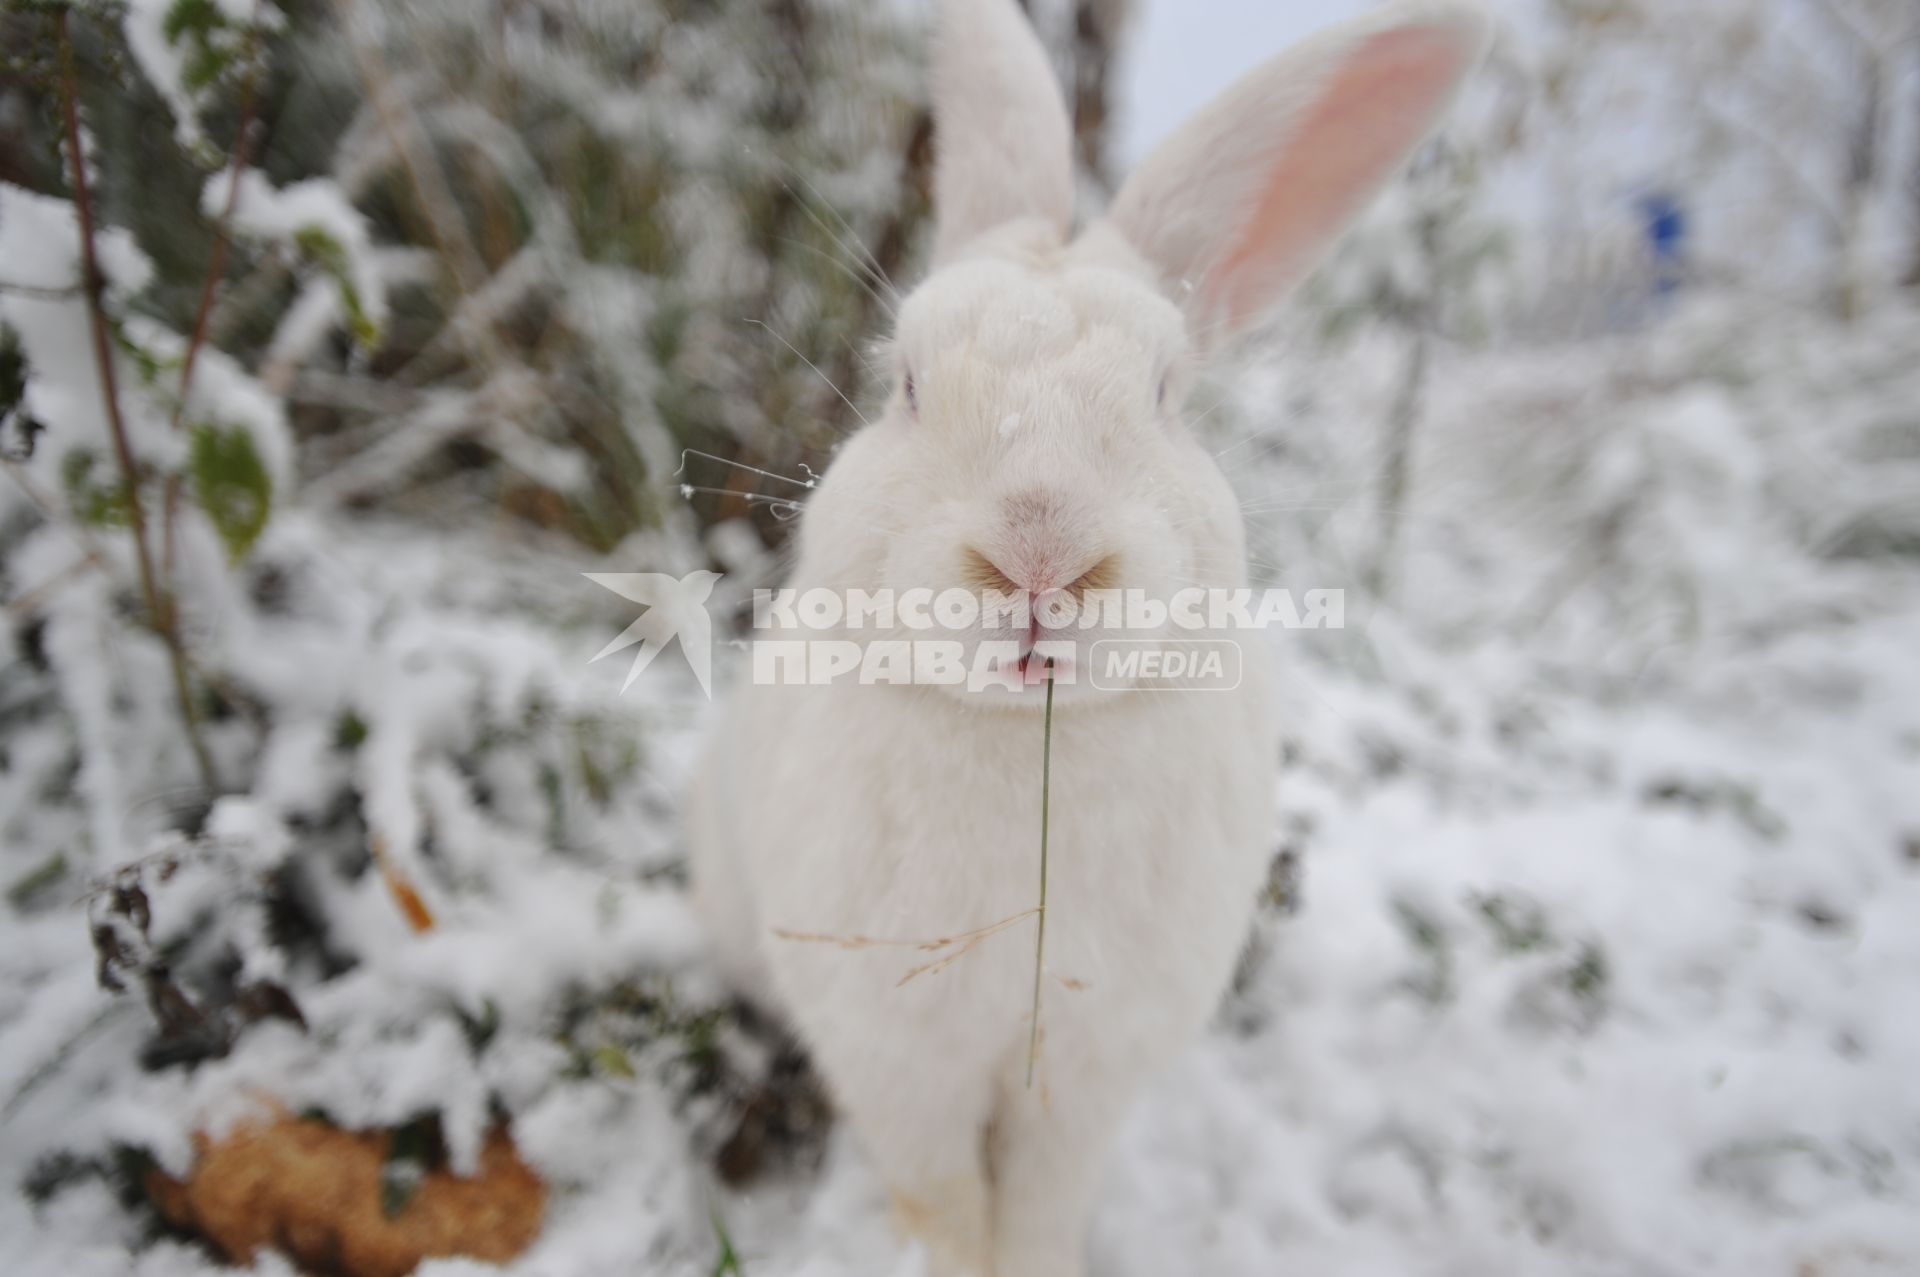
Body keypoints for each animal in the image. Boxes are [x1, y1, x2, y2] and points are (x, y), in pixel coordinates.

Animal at [683, 4, 1489, 1267]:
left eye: (1167, 394)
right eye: (904, 380)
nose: (1040, 550)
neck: (1028, 738)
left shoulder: (1085, 1071)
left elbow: (1042, 1201)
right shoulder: (896, 1060)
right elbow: (944, 1199)